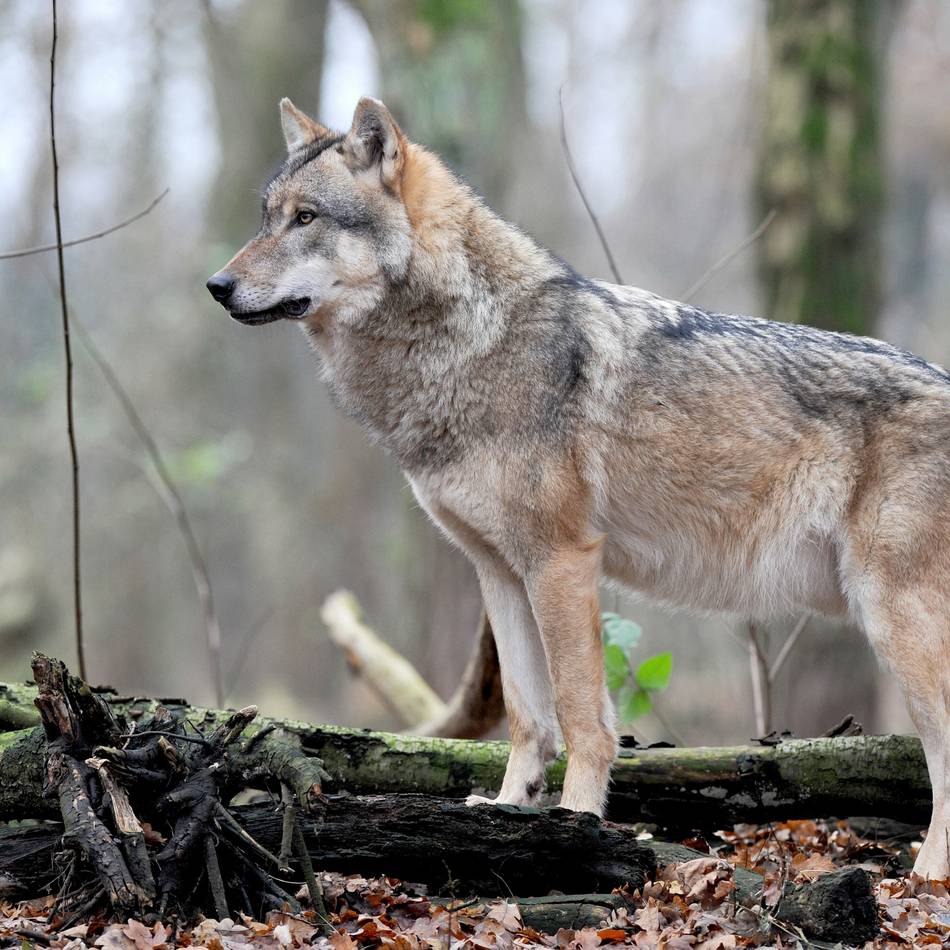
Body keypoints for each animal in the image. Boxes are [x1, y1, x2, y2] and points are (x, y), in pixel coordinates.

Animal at [208, 97, 950, 878]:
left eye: (306, 218)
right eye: (267, 217)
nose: (216, 286)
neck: (469, 343)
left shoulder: (562, 562)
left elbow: (580, 716)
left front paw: (577, 823)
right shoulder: (500, 573)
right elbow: (528, 718)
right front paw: (509, 809)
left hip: (894, 619)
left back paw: (926, 876)